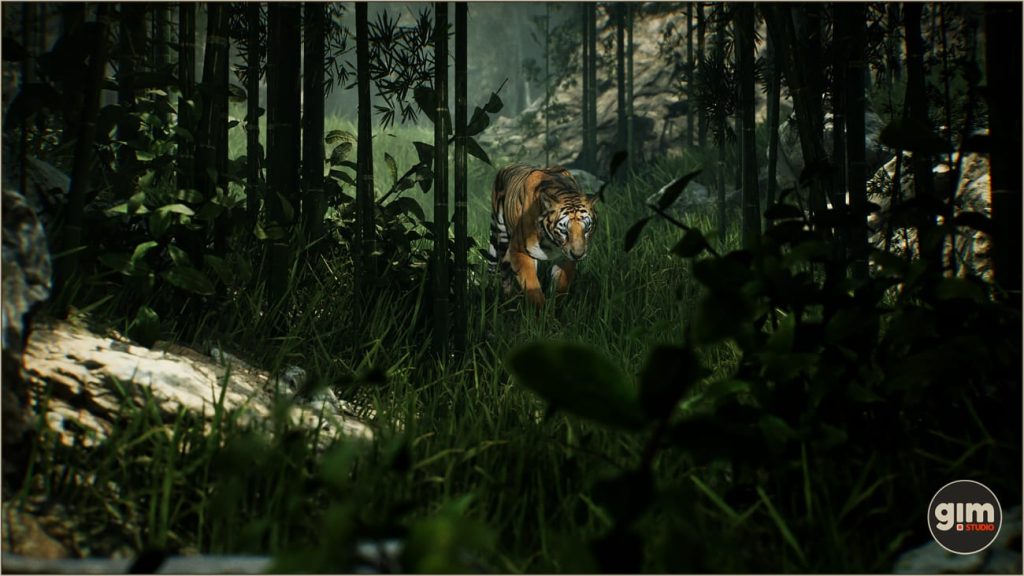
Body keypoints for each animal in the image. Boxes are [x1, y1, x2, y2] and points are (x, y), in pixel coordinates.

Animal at [486, 163, 597, 310]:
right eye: (564, 231)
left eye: (586, 229)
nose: (578, 255)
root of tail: (507, 166)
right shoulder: (519, 250)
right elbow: (532, 286)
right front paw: (540, 312)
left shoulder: (565, 258)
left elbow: (561, 286)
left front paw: (555, 309)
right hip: (502, 238)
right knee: (504, 273)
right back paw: (506, 302)